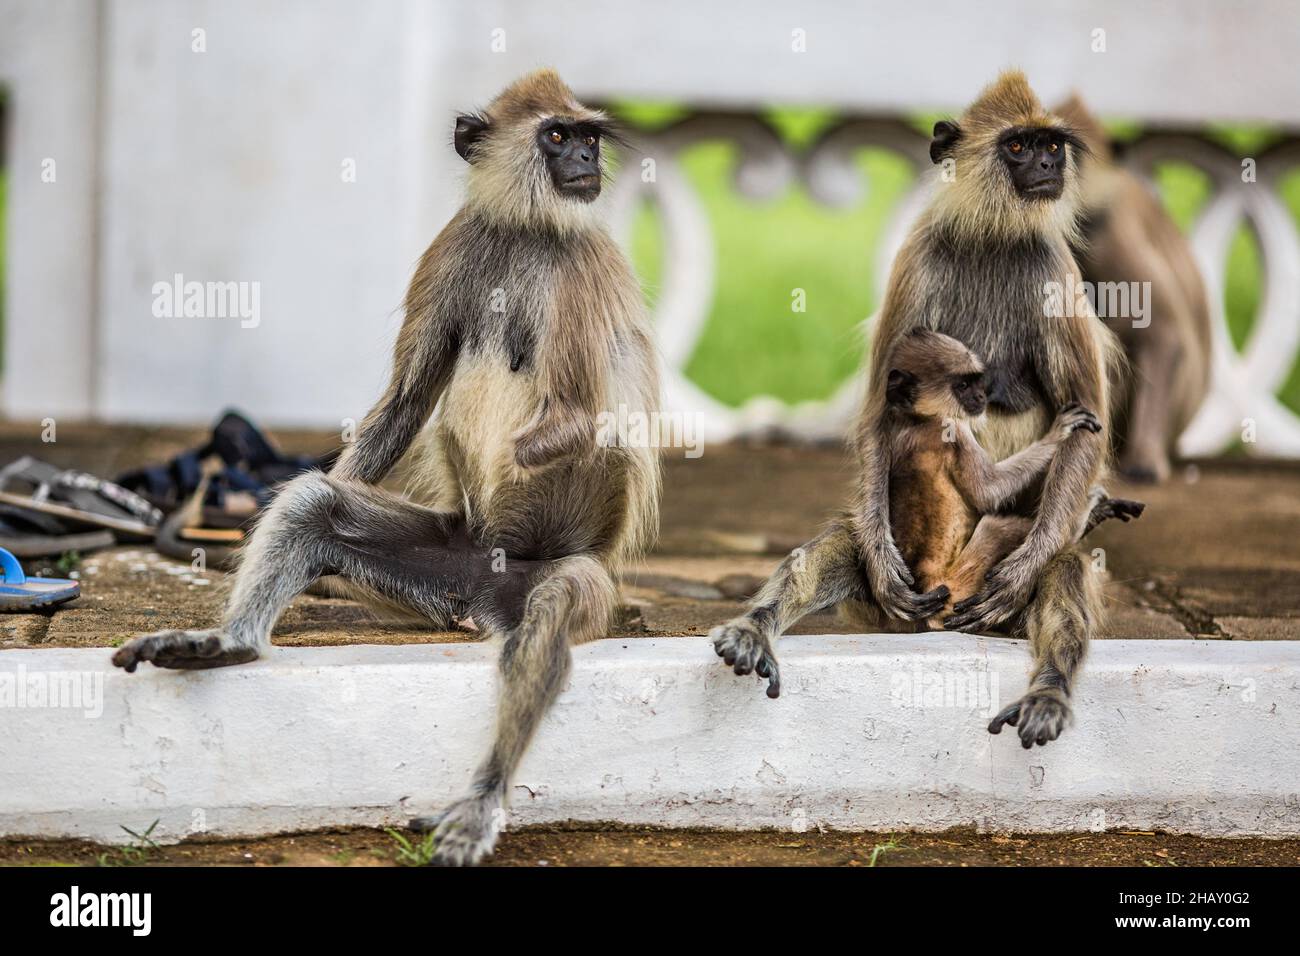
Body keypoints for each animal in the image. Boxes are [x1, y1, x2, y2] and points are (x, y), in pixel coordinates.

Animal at [110, 70, 660, 868]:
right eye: (559, 136)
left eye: (587, 136)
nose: (586, 160)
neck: (526, 231)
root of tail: (485, 593)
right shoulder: (457, 243)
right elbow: (406, 402)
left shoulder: (581, 264)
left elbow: (591, 424)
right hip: (453, 555)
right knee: (316, 504)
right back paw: (234, 643)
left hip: (572, 570)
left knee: (549, 619)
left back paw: (484, 796)